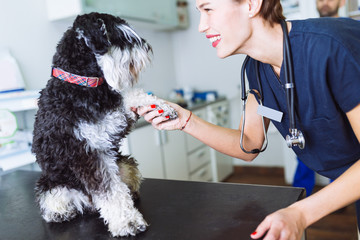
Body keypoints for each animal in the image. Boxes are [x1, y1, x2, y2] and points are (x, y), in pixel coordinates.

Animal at [33, 11, 176, 236]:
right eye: (121, 37)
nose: (148, 48)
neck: (81, 86)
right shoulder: (86, 153)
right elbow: (110, 192)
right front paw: (128, 222)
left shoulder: (111, 122)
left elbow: (130, 97)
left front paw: (159, 106)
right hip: (52, 183)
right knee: (53, 199)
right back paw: (60, 212)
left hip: (125, 164)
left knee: (125, 185)